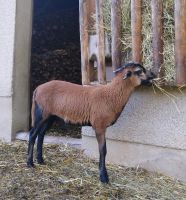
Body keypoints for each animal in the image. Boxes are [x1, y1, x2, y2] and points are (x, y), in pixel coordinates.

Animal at [26, 62, 154, 183]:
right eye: (139, 71)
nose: (153, 75)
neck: (111, 95)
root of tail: (38, 89)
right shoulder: (99, 125)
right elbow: (103, 150)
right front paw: (103, 177)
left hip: (50, 116)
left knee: (41, 134)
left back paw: (41, 160)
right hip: (41, 114)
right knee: (32, 134)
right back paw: (30, 163)